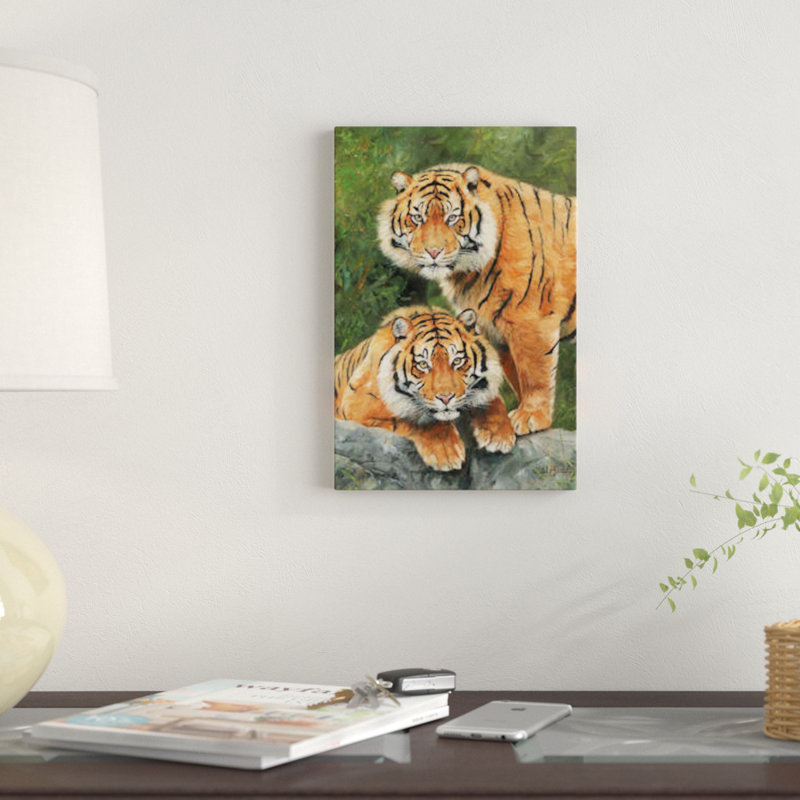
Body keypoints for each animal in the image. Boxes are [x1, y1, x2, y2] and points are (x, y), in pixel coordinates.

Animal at [334, 305, 515, 472]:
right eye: (422, 364)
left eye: (457, 361)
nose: (446, 398)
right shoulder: (356, 409)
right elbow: (416, 420)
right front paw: (446, 452)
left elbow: (492, 400)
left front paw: (499, 435)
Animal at [378, 164, 576, 436]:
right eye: (417, 219)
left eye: (452, 218)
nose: (433, 252)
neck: (469, 271)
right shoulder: (494, 329)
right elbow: (517, 376)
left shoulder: (531, 322)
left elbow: (534, 374)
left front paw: (531, 417)